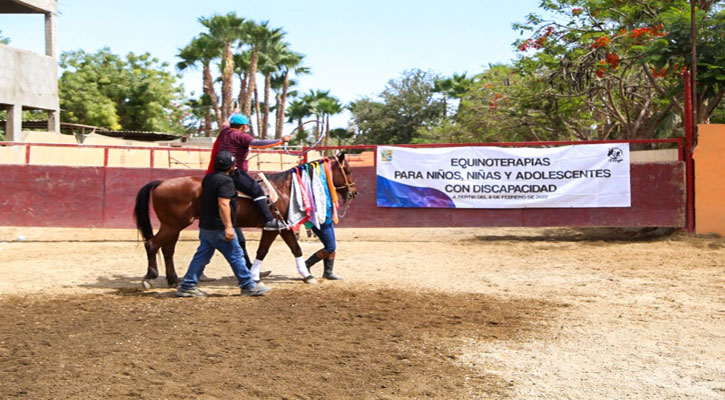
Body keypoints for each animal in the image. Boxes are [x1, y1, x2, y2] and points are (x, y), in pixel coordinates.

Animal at [133, 152, 356, 288]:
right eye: (348, 170)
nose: (353, 192)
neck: (285, 189)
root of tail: (162, 182)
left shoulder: (283, 228)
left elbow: (295, 249)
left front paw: (306, 275)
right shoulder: (273, 227)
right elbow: (263, 251)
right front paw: (255, 277)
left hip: (174, 226)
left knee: (167, 250)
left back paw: (172, 280)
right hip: (173, 225)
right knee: (152, 244)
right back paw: (150, 277)